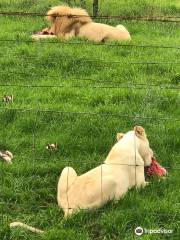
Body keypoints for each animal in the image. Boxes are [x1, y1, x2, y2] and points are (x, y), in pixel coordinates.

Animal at [10, 125, 153, 232]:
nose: (153, 155)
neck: (126, 145)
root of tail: (67, 209)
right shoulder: (140, 183)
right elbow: (151, 184)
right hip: (110, 182)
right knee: (114, 203)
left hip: (67, 168)